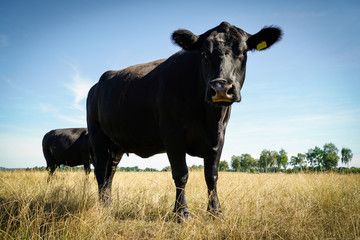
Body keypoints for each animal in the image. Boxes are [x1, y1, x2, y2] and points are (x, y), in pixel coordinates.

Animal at [86, 21, 282, 220]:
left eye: (243, 51)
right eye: (204, 53)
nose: (221, 88)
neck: (209, 118)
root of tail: (96, 85)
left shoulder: (219, 137)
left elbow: (212, 175)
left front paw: (215, 211)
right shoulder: (172, 135)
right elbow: (181, 174)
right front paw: (181, 213)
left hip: (116, 144)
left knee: (110, 172)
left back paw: (109, 204)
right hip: (97, 135)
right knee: (101, 170)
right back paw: (102, 206)